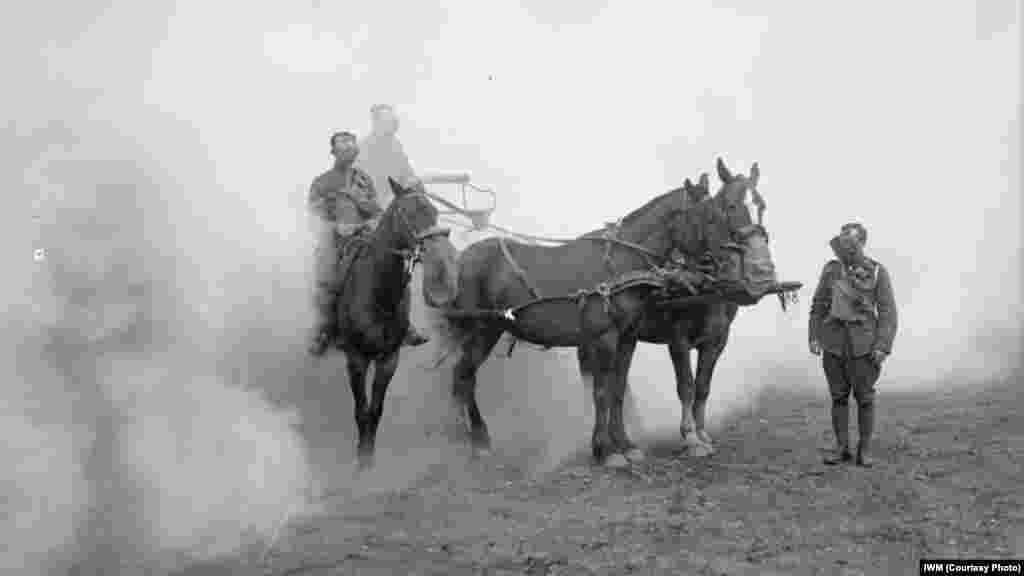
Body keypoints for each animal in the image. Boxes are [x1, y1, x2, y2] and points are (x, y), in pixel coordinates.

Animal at [329, 177, 458, 469]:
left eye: (434, 211)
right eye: (409, 213)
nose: (441, 259)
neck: (378, 294)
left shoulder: (389, 358)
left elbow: (376, 410)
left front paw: (369, 458)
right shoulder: (357, 358)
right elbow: (361, 410)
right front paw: (360, 462)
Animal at [428, 156, 770, 467]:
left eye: (761, 206)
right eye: (716, 214)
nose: (740, 265)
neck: (621, 266)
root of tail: (462, 258)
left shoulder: (629, 339)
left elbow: (618, 390)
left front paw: (627, 444)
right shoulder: (611, 338)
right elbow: (604, 392)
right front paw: (606, 451)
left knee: (463, 378)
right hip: (481, 330)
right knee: (464, 376)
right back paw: (476, 440)